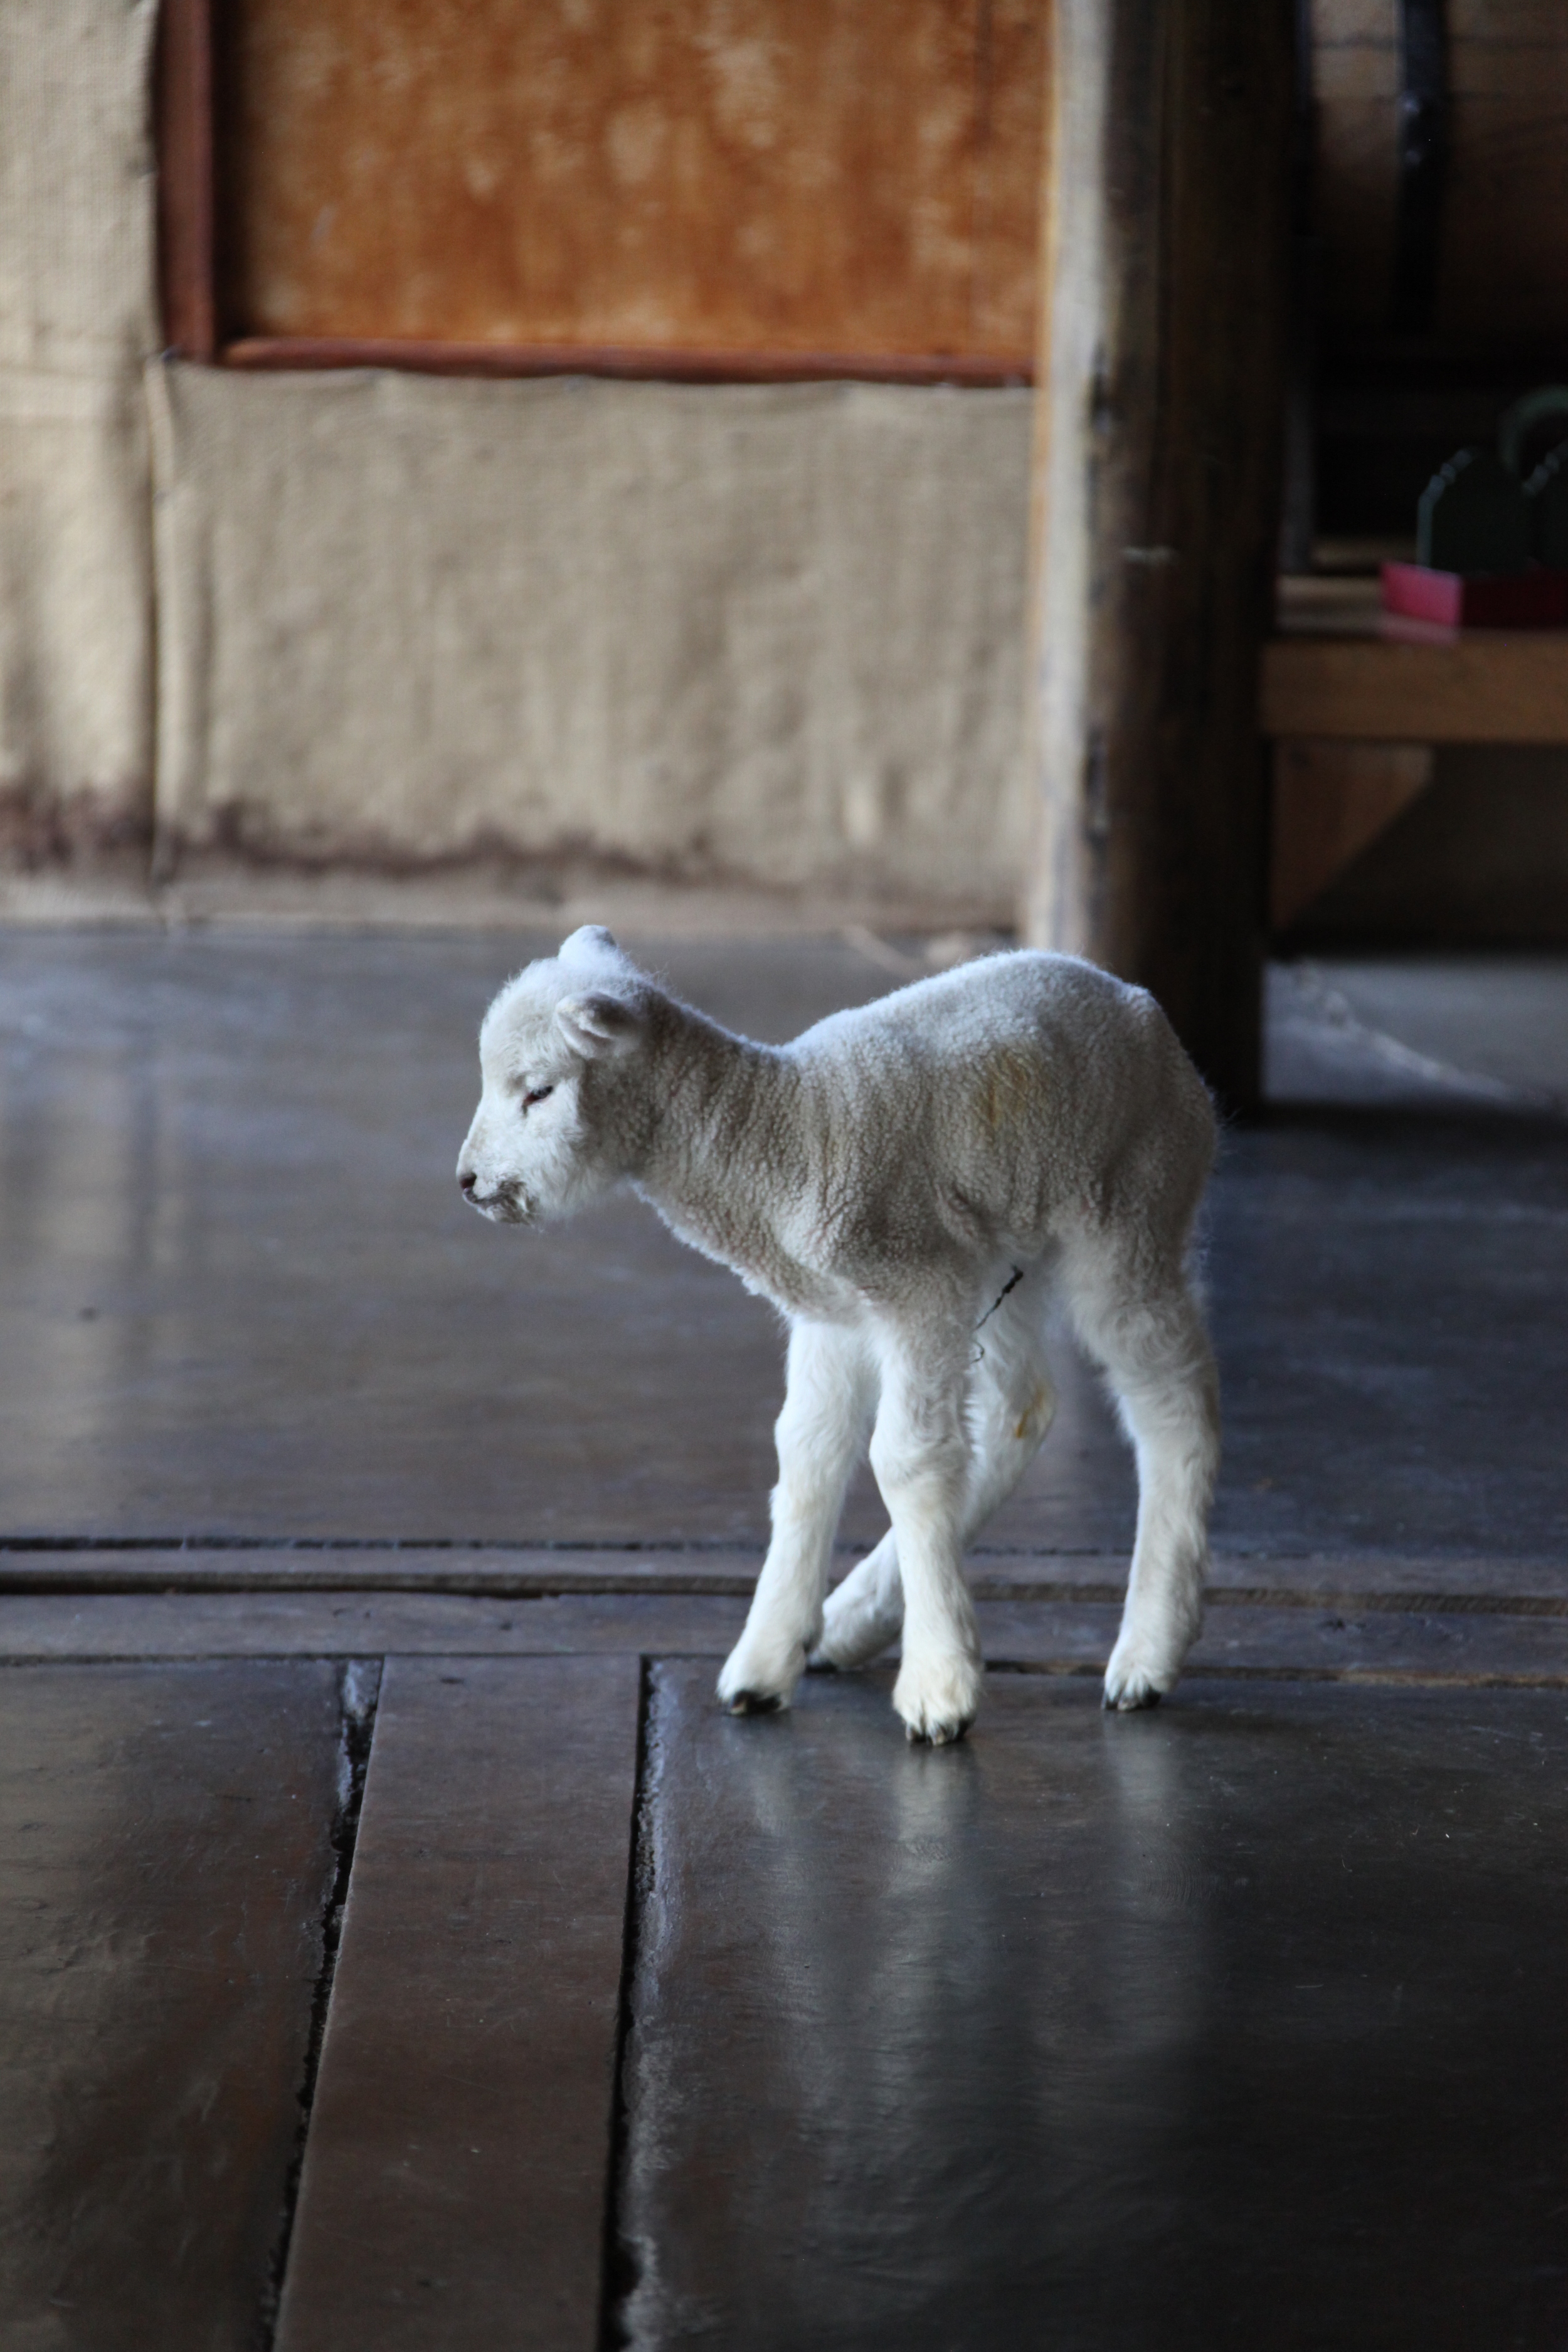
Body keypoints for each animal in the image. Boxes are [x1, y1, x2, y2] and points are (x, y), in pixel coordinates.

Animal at [457, 925, 1220, 1744]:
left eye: (539, 1091)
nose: (467, 1184)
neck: (778, 1136)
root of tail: (1136, 1003)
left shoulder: (914, 1290)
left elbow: (906, 1462)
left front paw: (938, 1686)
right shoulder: (833, 1314)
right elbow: (807, 1456)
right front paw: (764, 1663)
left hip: (1130, 1215)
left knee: (1172, 1405)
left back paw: (1146, 1653)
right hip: (998, 1254)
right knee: (1022, 1410)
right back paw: (858, 1617)